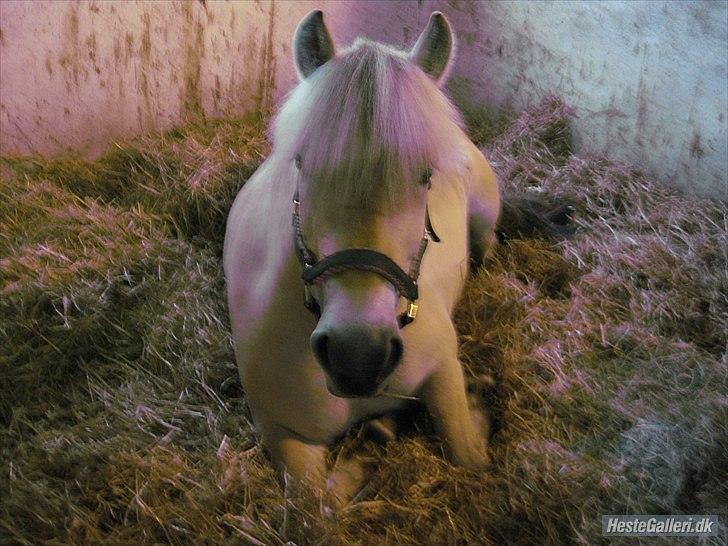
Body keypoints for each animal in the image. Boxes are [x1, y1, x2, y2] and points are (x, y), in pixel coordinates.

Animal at [223, 10, 501, 504]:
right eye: (301, 164)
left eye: (426, 175)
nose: (358, 355)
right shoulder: (281, 430)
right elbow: (316, 505)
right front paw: (369, 449)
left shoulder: (444, 370)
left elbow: (469, 455)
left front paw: (479, 404)